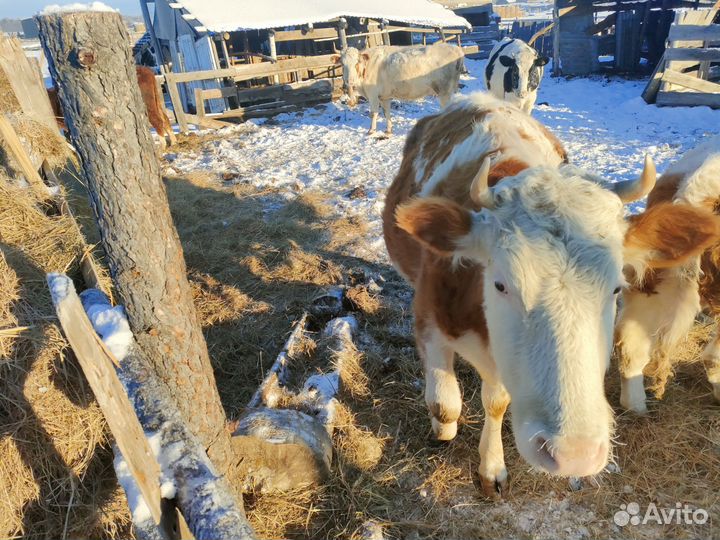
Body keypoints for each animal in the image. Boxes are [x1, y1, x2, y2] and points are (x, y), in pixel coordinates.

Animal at [48, 66, 177, 149]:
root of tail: (147, 70)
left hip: (147, 104)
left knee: (158, 120)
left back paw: (162, 148)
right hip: (156, 101)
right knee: (165, 118)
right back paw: (173, 141)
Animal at [334, 42, 464, 135]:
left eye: (357, 62)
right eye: (342, 64)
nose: (349, 81)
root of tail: (455, 48)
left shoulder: (372, 94)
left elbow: (374, 113)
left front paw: (371, 131)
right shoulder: (384, 96)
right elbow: (386, 112)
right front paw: (388, 130)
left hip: (444, 91)